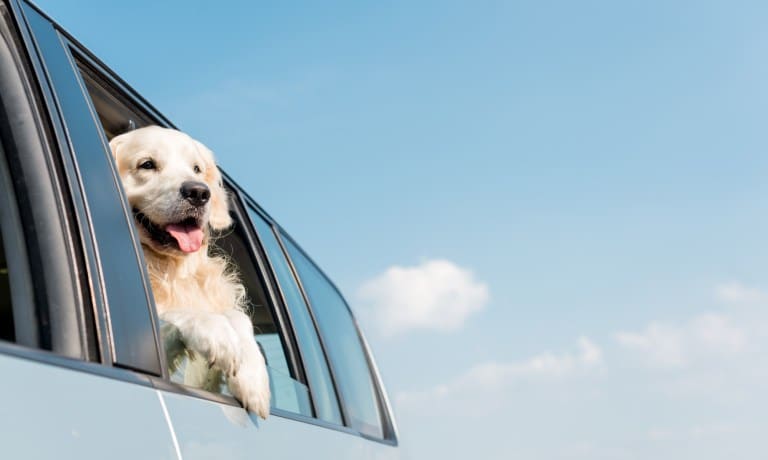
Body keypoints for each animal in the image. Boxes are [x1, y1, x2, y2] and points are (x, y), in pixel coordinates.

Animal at [109, 125, 270, 416]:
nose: (198, 193)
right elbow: (176, 313)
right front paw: (216, 332)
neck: (171, 269)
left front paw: (252, 378)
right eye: (147, 164)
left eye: (196, 169)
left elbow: (239, 317)